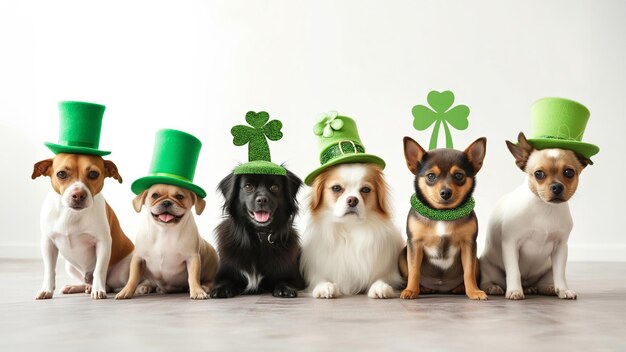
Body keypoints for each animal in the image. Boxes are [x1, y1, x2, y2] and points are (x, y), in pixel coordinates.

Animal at [32, 154, 134, 300]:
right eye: (61, 174)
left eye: (93, 174)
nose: (78, 194)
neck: (71, 214)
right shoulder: (48, 243)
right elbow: (50, 270)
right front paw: (46, 290)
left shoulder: (103, 243)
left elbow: (99, 270)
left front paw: (98, 290)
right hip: (69, 267)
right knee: (89, 282)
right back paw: (76, 287)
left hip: (123, 272)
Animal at [298, 164, 404, 298]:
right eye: (336, 188)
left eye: (365, 189)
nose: (352, 200)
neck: (349, 228)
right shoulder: (315, 270)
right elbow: (318, 278)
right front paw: (325, 286)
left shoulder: (390, 272)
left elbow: (382, 277)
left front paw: (380, 286)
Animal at [478, 133, 588, 300]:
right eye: (539, 174)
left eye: (569, 173)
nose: (557, 186)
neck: (545, 208)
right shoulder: (511, 244)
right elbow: (514, 271)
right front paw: (514, 290)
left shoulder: (560, 248)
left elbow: (560, 274)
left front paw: (563, 290)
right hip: (488, 267)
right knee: (489, 281)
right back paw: (494, 287)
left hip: (547, 269)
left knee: (546, 280)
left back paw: (547, 288)